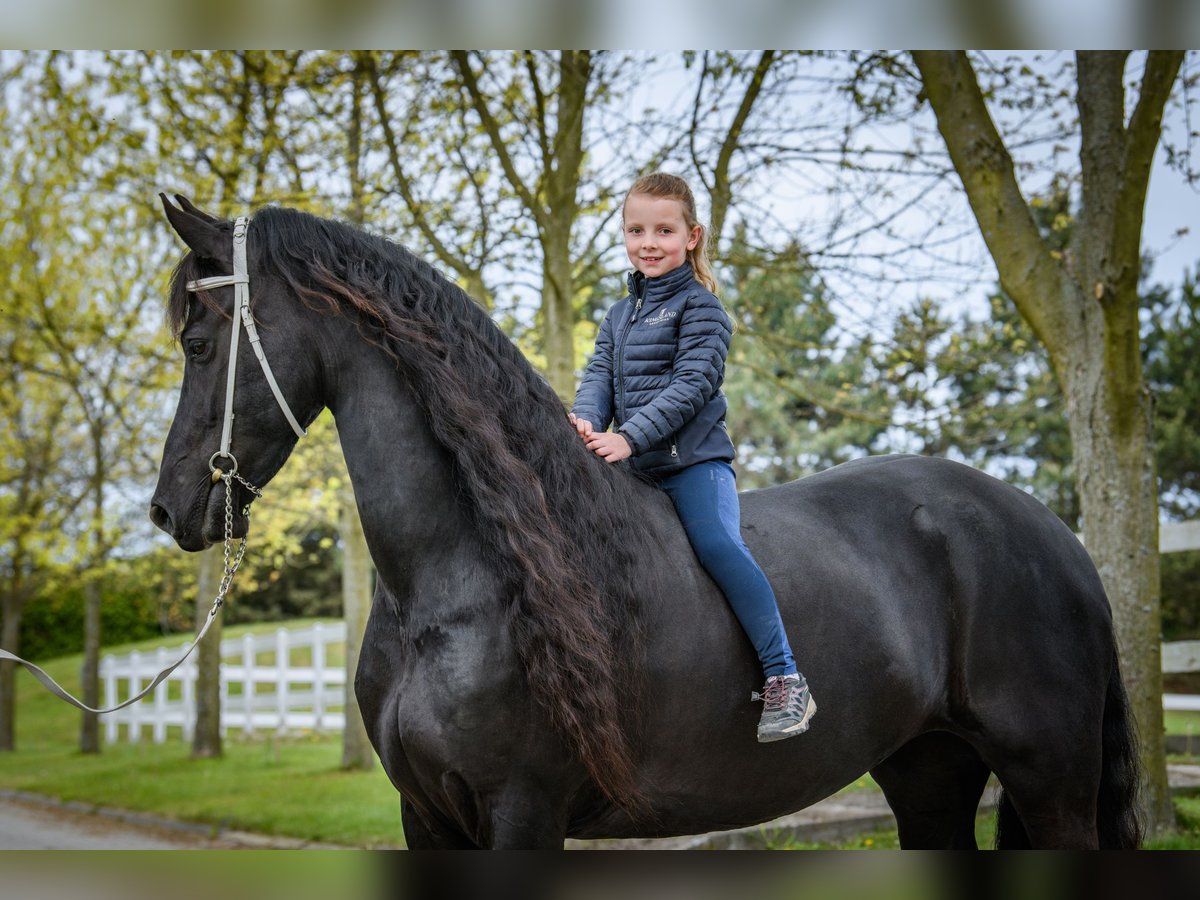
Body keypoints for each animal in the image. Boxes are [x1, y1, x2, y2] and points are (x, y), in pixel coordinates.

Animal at [150, 199, 1142, 854]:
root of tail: (1054, 534)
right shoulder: (426, 818)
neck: (467, 584)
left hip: (1053, 784)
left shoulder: (522, 813)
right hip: (930, 774)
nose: (169, 509)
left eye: (198, 344)